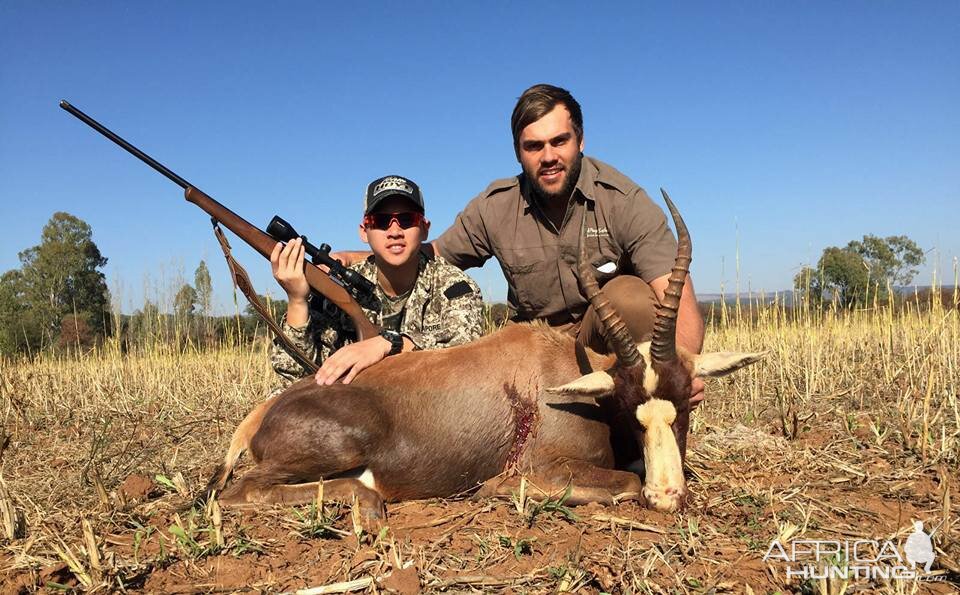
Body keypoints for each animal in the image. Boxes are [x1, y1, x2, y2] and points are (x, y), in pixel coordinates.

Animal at [204, 193, 764, 516]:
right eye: (627, 406)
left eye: (686, 401)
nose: (666, 497)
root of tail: (263, 415)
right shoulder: (546, 465)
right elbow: (625, 480)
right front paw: (498, 491)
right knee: (238, 492)